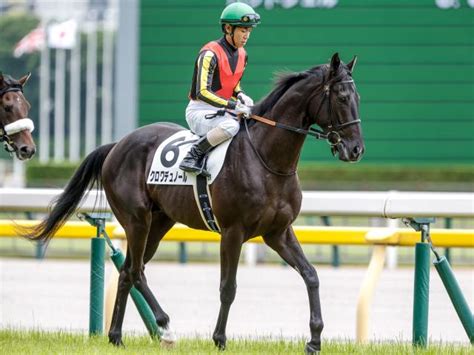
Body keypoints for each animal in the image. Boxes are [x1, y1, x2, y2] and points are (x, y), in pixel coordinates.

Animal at [25, 52, 366, 354]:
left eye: (357, 97)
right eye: (341, 97)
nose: (356, 150)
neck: (267, 160)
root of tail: (117, 145)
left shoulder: (278, 232)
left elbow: (311, 275)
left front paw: (314, 340)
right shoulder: (233, 232)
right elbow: (228, 288)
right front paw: (219, 339)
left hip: (159, 221)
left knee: (131, 271)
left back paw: (121, 336)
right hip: (136, 220)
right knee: (133, 270)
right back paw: (159, 328)